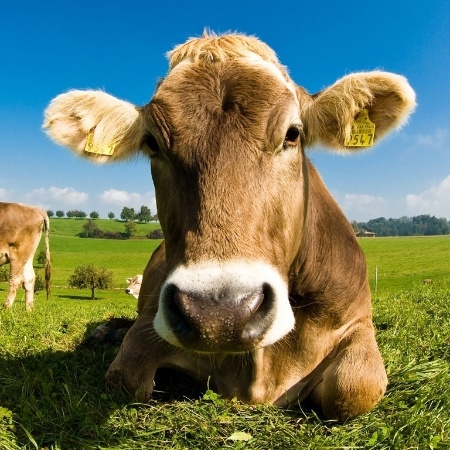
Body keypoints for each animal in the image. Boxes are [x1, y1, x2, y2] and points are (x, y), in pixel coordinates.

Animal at [44, 32, 416, 422]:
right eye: (152, 143)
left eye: (293, 134)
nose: (219, 313)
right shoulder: (150, 325)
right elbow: (126, 377)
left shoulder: (357, 324)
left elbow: (356, 387)